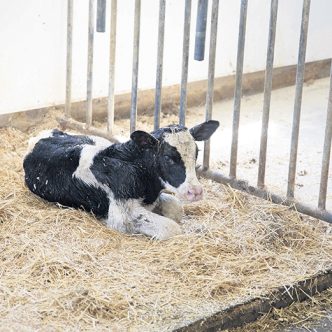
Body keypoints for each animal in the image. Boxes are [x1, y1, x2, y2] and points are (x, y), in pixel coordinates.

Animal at [24, 120, 219, 240]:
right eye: (168, 158)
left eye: (196, 153)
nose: (195, 192)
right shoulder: (122, 216)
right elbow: (172, 228)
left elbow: (176, 208)